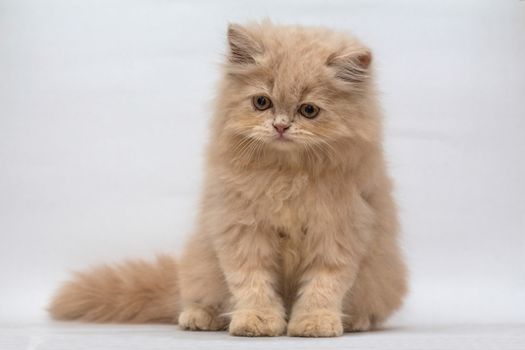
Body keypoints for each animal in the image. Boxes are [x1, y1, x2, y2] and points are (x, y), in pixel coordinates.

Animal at [49, 21, 408, 336]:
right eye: (262, 102)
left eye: (309, 110)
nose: (280, 126)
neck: (286, 175)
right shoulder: (241, 228)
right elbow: (252, 283)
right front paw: (257, 321)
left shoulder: (339, 231)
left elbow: (324, 285)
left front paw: (314, 322)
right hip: (201, 264)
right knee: (199, 298)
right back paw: (199, 317)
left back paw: (356, 321)